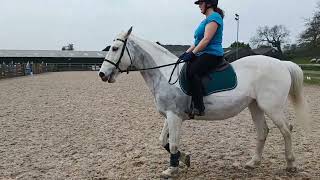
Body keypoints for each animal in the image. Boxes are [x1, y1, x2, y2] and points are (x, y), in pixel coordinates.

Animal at [99, 27, 310, 178]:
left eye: (115, 48)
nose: (102, 74)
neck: (165, 75)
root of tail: (281, 64)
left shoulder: (174, 117)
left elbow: (173, 143)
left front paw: (172, 170)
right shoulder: (170, 115)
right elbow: (162, 141)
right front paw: (184, 159)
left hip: (271, 107)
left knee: (286, 130)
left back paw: (291, 165)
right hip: (255, 106)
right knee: (263, 131)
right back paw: (253, 163)